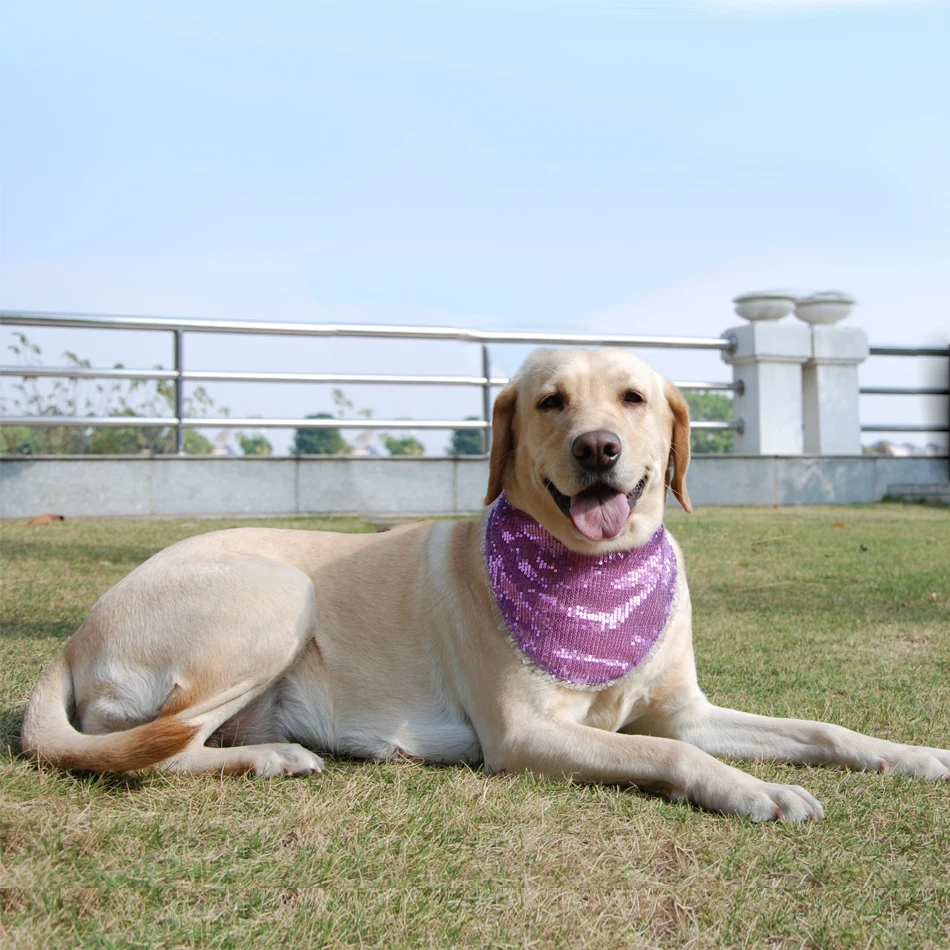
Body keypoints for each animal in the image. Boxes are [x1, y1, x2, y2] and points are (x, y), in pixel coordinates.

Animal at [22, 346, 950, 820]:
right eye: (550, 402)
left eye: (633, 397)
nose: (597, 448)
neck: (598, 580)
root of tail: (75, 636)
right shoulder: (524, 735)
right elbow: (668, 752)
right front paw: (756, 791)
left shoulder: (688, 706)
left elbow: (818, 728)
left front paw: (909, 754)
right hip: (279, 600)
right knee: (154, 748)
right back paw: (274, 756)